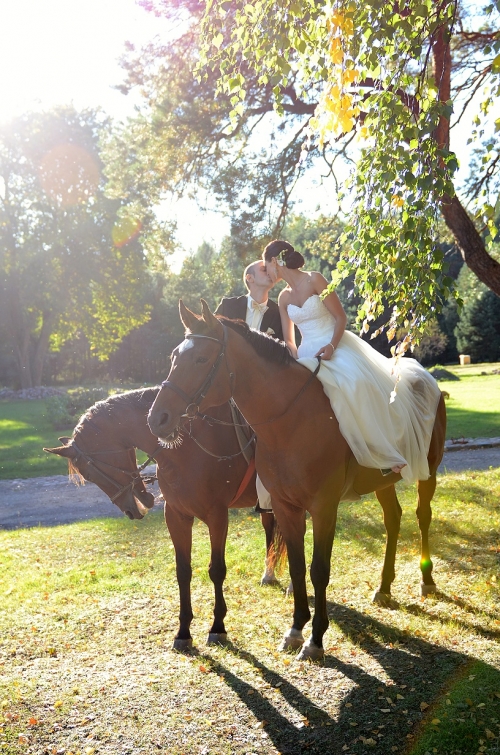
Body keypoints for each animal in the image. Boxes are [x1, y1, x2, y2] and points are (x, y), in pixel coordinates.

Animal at [45, 390, 288, 648]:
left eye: (89, 473)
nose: (131, 510)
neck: (186, 449)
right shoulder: (176, 516)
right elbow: (183, 571)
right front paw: (183, 631)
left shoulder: (217, 516)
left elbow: (216, 570)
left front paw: (217, 627)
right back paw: (269, 575)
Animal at [146, 302, 448, 660]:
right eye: (174, 357)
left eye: (201, 360)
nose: (157, 418)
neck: (292, 418)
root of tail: (424, 378)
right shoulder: (285, 506)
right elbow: (297, 566)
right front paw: (295, 629)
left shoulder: (323, 508)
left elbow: (319, 570)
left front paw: (315, 638)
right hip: (384, 482)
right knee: (393, 520)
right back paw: (384, 587)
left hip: (428, 472)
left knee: (423, 516)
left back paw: (427, 581)